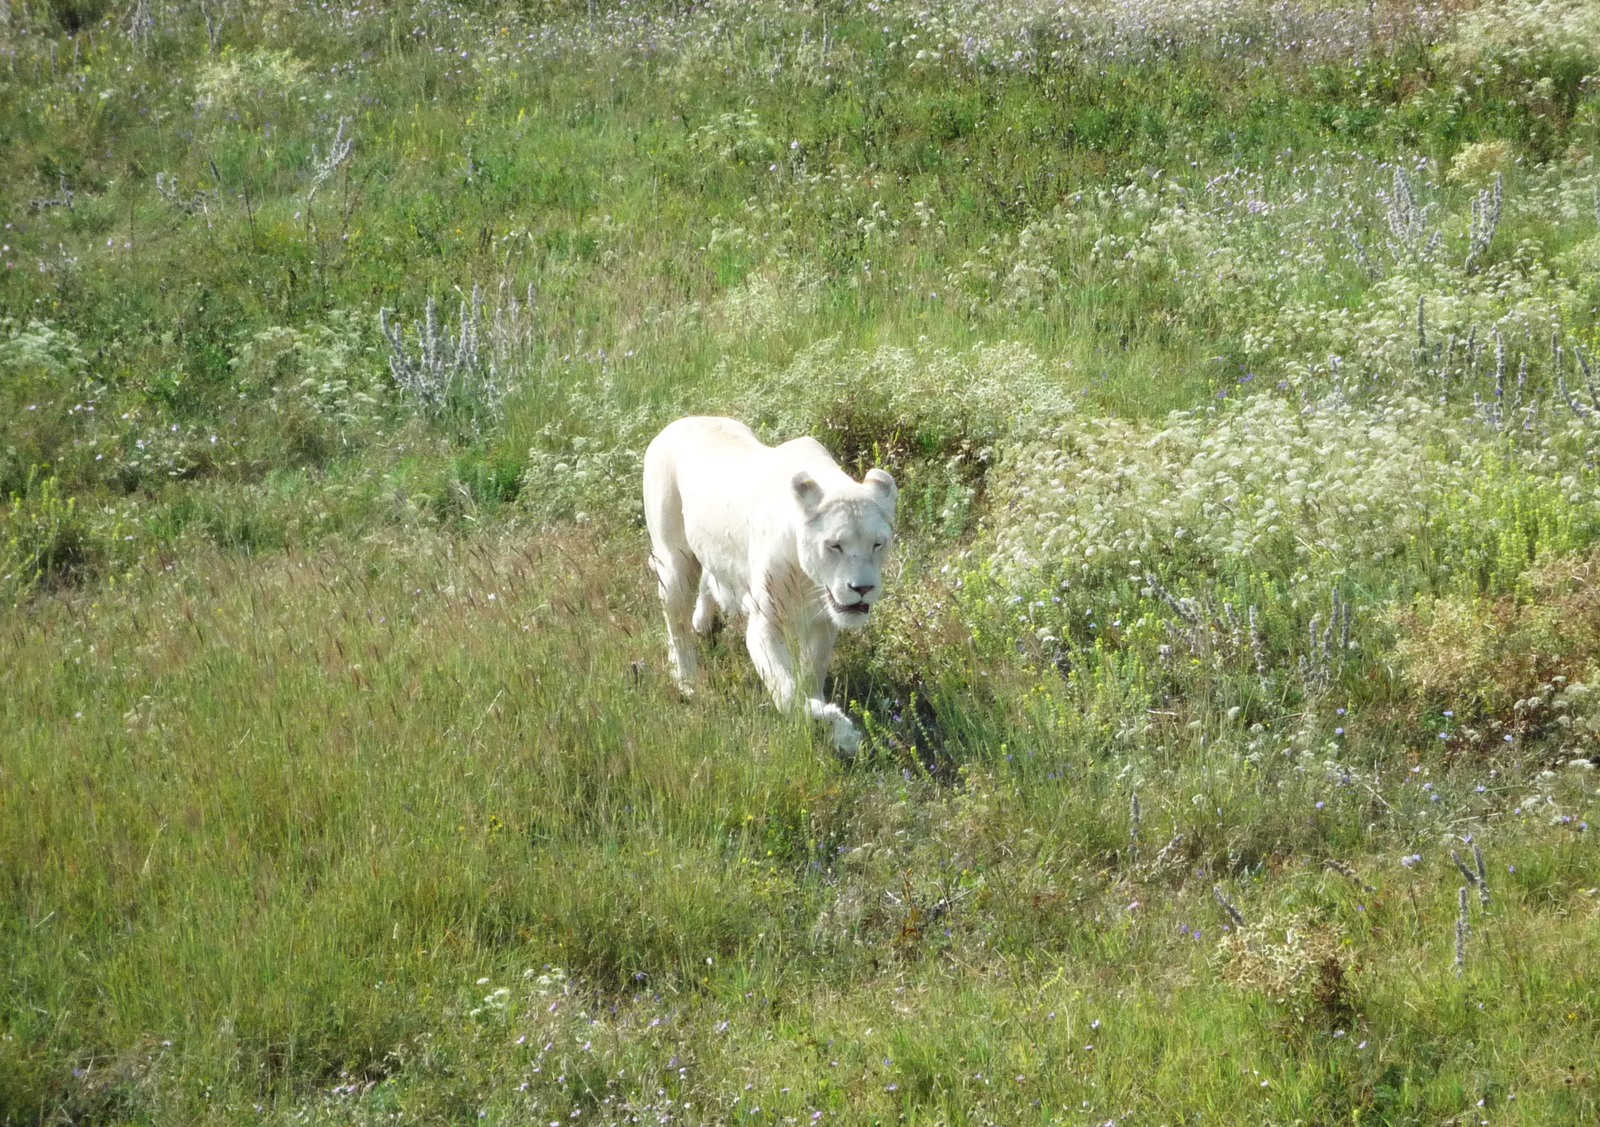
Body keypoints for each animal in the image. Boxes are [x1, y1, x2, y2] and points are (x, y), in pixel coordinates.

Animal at [649, 413, 902, 749]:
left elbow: (811, 674)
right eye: (834, 545)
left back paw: (704, 623)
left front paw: (832, 729)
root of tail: (682, 420)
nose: (862, 589)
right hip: (674, 560)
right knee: (675, 621)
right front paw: (833, 723)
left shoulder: (825, 624)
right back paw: (686, 680)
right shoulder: (764, 625)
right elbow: (788, 692)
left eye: (877, 544)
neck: (809, 581)